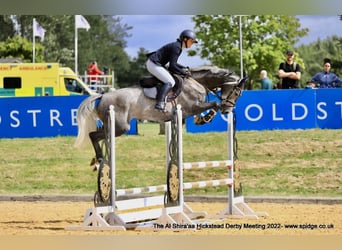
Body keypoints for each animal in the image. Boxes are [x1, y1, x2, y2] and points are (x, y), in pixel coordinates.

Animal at [74, 66, 244, 158]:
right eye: (237, 92)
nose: (227, 109)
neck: (196, 81)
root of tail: (102, 96)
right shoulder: (191, 107)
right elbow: (214, 104)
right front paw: (206, 118)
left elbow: (210, 105)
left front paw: (201, 119)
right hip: (120, 127)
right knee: (93, 135)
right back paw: (99, 159)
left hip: (111, 125)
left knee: (96, 135)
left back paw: (97, 160)